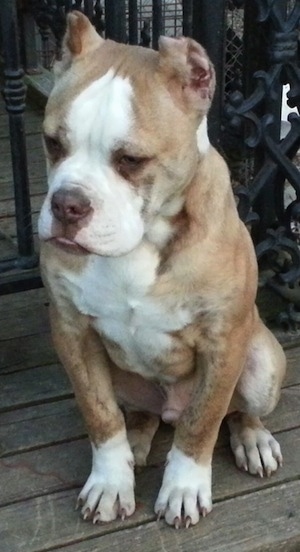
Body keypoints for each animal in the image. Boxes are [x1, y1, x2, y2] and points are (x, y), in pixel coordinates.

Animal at [38, 10, 288, 528]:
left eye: (131, 160)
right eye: (52, 143)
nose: (67, 204)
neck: (142, 241)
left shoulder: (223, 340)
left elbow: (203, 421)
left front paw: (185, 487)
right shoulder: (72, 331)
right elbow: (100, 414)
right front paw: (109, 481)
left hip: (261, 366)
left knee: (234, 410)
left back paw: (253, 439)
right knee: (138, 414)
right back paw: (135, 443)